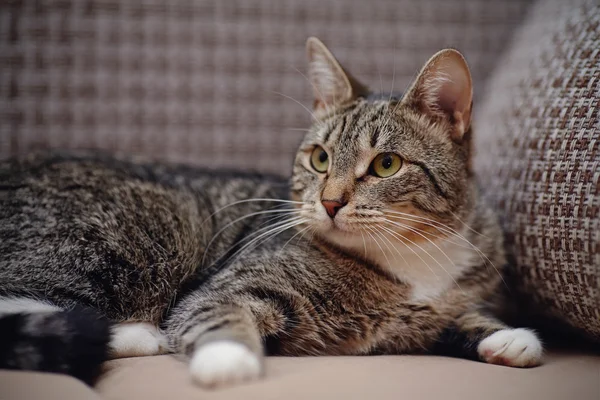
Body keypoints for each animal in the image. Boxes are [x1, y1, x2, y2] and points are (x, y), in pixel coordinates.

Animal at [0, 37, 544, 388]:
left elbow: (464, 317)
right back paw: (140, 332)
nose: (330, 202)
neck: (412, 258)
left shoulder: (445, 304)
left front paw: (508, 337)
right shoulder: (234, 284)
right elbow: (215, 309)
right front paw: (228, 358)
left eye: (386, 164)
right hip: (134, 234)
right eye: (320, 158)